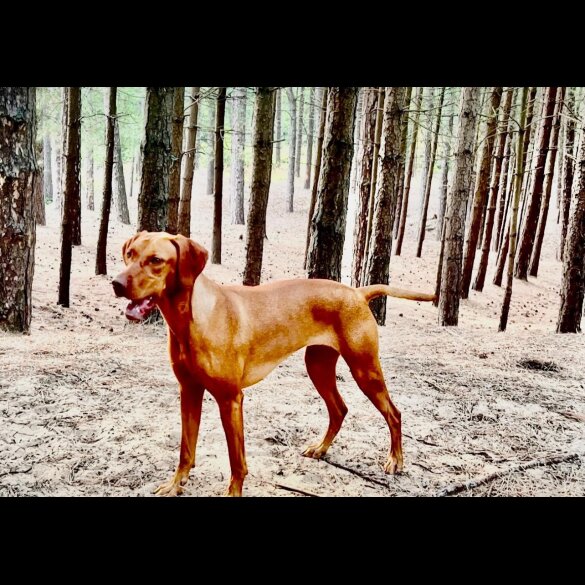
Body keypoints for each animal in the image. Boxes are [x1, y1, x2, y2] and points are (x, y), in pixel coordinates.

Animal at [113, 230, 434, 496]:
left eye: (156, 260)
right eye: (130, 254)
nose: (116, 283)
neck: (191, 319)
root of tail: (357, 292)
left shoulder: (230, 399)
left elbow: (237, 461)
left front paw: (233, 492)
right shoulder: (189, 391)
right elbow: (186, 450)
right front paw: (175, 484)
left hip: (364, 369)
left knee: (394, 413)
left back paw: (395, 461)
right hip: (318, 366)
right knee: (339, 409)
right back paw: (321, 448)